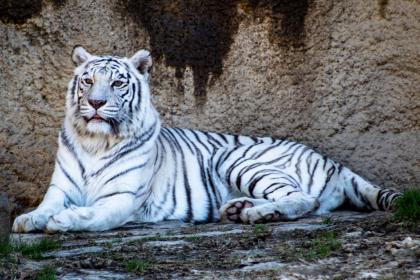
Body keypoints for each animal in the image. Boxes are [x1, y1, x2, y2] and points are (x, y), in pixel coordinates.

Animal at [12, 47, 400, 232]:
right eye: (88, 81)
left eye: (118, 83)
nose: (95, 103)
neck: (95, 142)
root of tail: (333, 162)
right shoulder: (60, 188)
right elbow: (45, 206)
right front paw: (29, 219)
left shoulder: (122, 197)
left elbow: (96, 216)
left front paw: (64, 221)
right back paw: (240, 209)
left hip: (235, 157)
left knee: (304, 199)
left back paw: (258, 214)